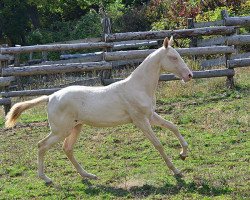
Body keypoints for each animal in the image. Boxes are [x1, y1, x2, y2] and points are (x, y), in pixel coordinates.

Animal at [6, 36, 193, 184]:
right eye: (173, 57)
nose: (189, 75)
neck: (138, 87)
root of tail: (51, 97)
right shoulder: (140, 120)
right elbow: (158, 144)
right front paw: (176, 170)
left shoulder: (151, 116)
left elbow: (173, 127)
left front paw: (183, 153)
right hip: (61, 130)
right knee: (42, 145)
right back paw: (45, 178)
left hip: (76, 127)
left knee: (67, 149)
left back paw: (88, 175)